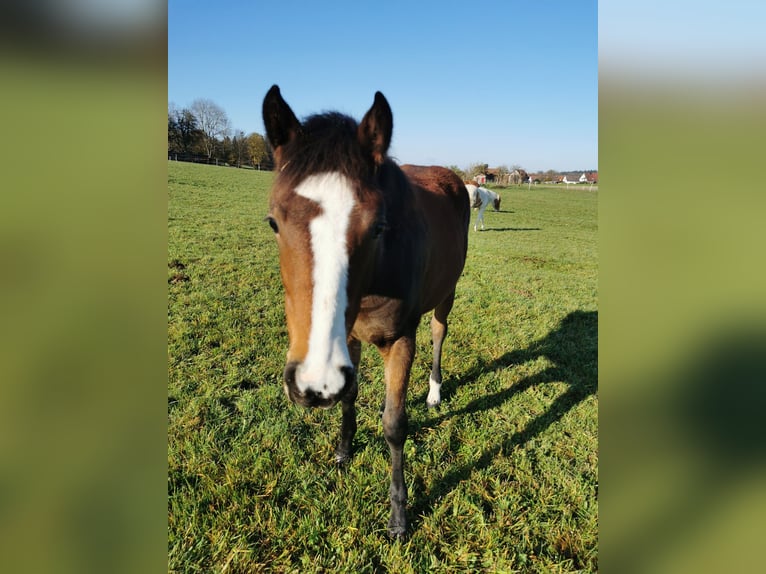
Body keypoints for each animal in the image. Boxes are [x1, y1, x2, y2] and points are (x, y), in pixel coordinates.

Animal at [262, 85, 470, 539]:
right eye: (273, 222)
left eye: (377, 227)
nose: (314, 383)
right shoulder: (350, 339)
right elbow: (350, 396)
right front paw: (343, 451)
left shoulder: (400, 340)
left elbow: (394, 424)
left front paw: (398, 517)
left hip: (447, 294)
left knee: (439, 332)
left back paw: (434, 392)